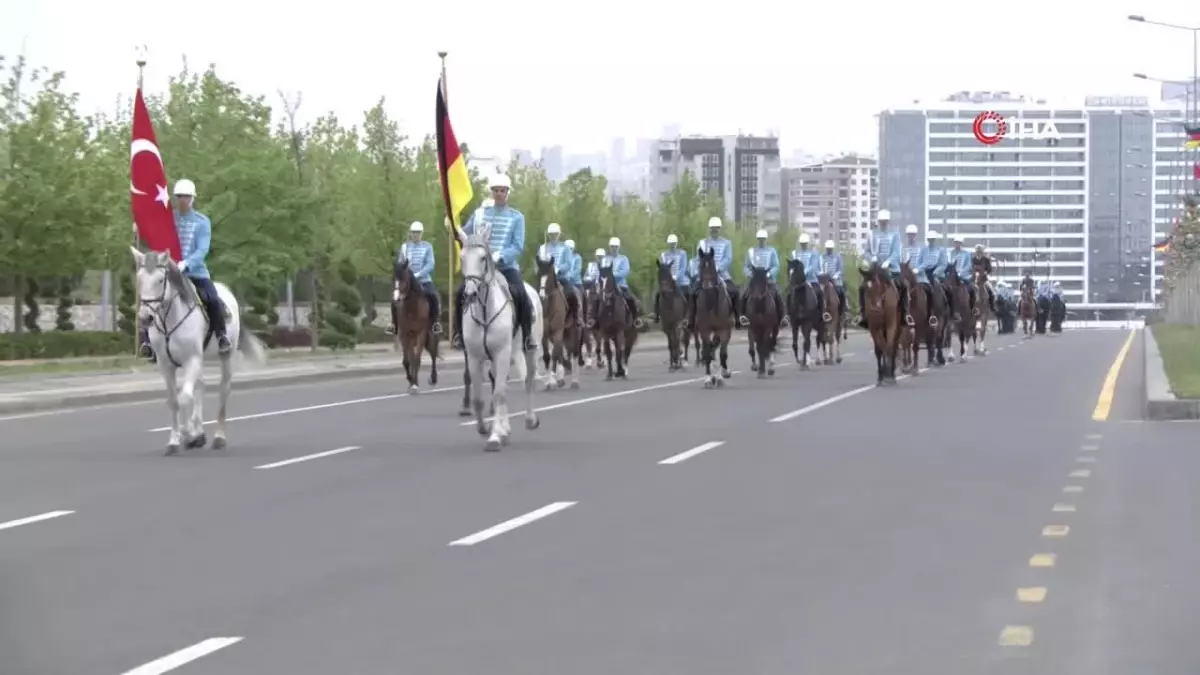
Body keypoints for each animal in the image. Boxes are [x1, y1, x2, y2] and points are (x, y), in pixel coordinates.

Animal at [130, 243, 268, 454]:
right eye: (140, 279)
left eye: (161, 280)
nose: (146, 318)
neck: (170, 320)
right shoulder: (165, 365)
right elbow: (174, 401)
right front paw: (175, 440)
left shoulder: (192, 359)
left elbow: (185, 397)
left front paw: (189, 434)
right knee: (200, 387)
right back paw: (200, 432)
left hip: (226, 356)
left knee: (223, 390)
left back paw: (218, 437)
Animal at [391, 253, 439, 391]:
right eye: (393, 277)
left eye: (404, 278)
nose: (396, 299)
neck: (411, 308)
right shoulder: (404, 334)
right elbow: (408, 360)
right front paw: (411, 381)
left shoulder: (421, 334)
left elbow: (417, 359)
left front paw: (414, 383)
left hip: (432, 335)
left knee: (433, 354)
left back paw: (433, 378)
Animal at [453, 223, 544, 449]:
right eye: (462, 257)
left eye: (483, 258)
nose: (470, 294)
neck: (486, 311)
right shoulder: (475, 357)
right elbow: (481, 397)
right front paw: (485, 428)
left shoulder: (502, 353)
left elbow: (499, 393)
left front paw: (494, 437)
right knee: (499, 383)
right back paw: (504, 429)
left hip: (529, 351)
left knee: (528, 381)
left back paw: (530, 420)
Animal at [537, 252, 578, 389]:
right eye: (539, 274)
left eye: (549, 276)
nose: (541, 296)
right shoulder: (545, 334)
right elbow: (547, 356)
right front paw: (549, 381)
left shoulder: (558, 331)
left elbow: (555, 354)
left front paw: (553, 380)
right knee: (561, 351)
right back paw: (562, 377)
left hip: (573, 331)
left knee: (572, 351)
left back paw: (574, 380)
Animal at [691, 243, 734, 386]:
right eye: (700, 266)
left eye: (712, 266)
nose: (707, 285)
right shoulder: (704, 330)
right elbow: (707, 352)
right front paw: (708, 378)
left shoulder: (724, 330)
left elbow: (722, 353)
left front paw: (720, 376)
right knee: (711, 348)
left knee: (718, 348)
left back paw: (723, 372)